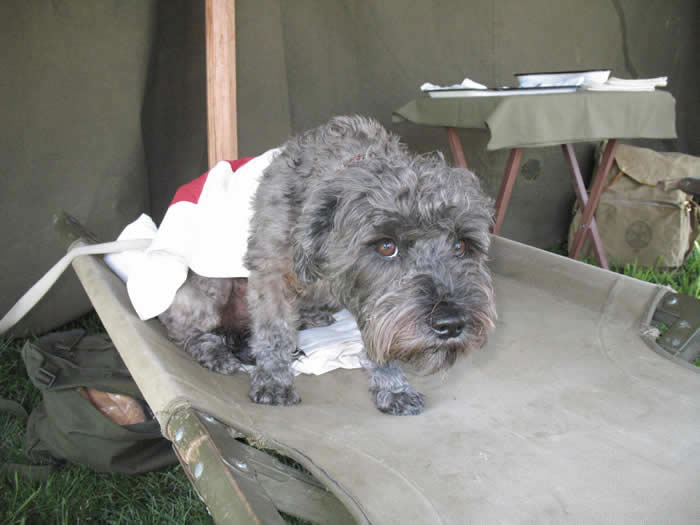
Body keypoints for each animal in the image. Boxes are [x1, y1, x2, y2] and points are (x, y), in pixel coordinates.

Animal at [159, 116, 496, 415]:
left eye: (462, 244)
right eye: (387, 246)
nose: (450, 324)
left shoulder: (369, 298)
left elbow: (378, 340)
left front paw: (392, 387)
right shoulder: (270, 273)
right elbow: (273, 330)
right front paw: (274, 381)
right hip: (207, 283)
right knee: (180, 328)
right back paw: (212, 350)